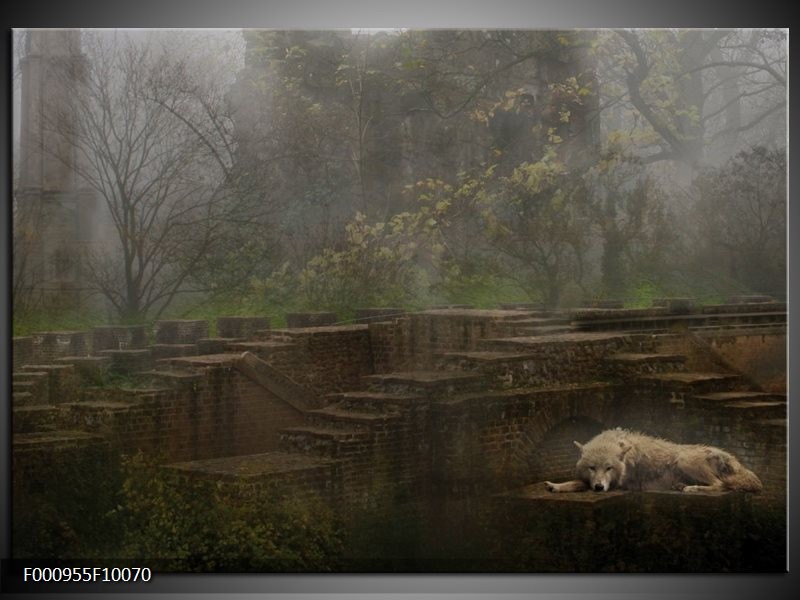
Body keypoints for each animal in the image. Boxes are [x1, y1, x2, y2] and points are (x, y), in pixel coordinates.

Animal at [544, 428, 764, 494]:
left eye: (609, 468)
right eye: (592, 467)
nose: (598, 487)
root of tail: (733, 459)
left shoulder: (619, 484)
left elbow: (579, 484)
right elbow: (578, 482)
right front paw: (556, 485)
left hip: (684, 459)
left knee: (720, 485)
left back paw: (691, 488)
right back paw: (680, 485)